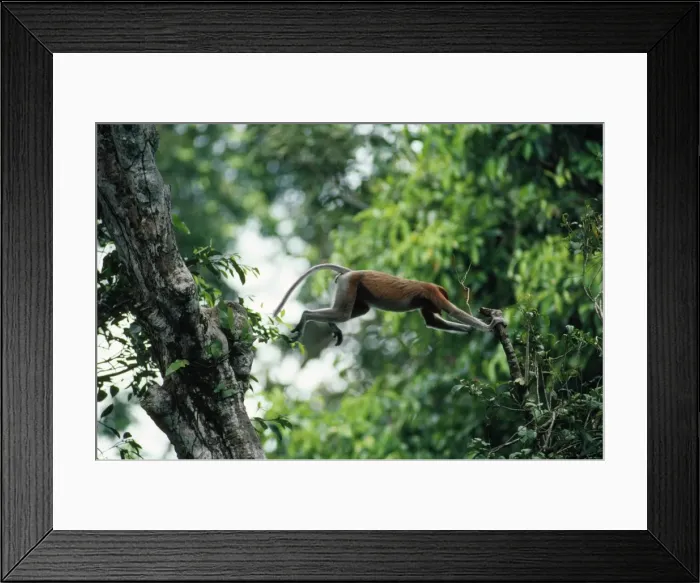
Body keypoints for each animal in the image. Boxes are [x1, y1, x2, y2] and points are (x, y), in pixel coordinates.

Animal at [272, 263, 505, 346]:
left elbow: (431, 322)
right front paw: (491, 324)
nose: (436, 309)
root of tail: (350, 271)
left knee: (355, 310)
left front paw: (469, 329)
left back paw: (331, 326)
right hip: (350, 284)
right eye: (439, 303)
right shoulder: (432, 294)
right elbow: (453, 310)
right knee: (342, 312)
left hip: (352, 288)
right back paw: (305, 317)